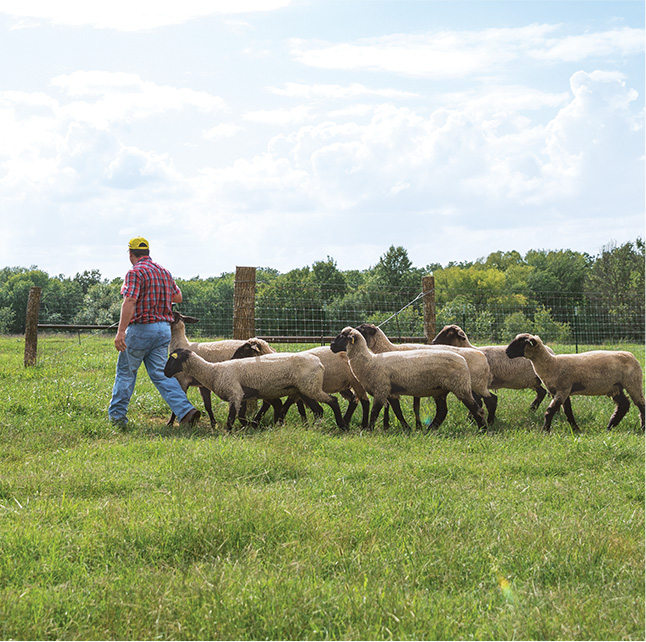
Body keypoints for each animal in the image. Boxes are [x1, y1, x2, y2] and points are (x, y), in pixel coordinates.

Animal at [165, 344, 346, 430]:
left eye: (173, 359)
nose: (165, 372)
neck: (213, 371)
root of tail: (320, 363)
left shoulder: (235, 394)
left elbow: (231, 418)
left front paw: (229, 433)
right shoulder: (244, 396)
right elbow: (241, 416)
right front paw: (250, 427)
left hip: (310, 388)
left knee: (333, 401)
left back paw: (341, 425)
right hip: (304, 390)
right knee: (318, 410)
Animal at [234, 342, 374, 428]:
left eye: (242, 352)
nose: (232, 360)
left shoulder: (297, 391)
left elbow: (282, 407)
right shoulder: (296, 392)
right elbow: (294, 407)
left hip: (356, 382)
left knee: (365, 401)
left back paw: (362, 425)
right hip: (344, 385)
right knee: (354, 400)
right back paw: (346, 420)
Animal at [330, 324, 486, 430]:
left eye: (343, 336)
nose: (331, 346)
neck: (369, 361)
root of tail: (464, 359)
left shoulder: (381, 390)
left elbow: (375, 412)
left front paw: (370, 430)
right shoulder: (390, 392)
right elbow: (396, 411)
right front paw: (406, 428)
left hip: (461, 386)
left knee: (476, 407)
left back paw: (482, 429)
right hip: (440, 390)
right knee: (443, 411)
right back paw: (430, 430)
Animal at [508, 332, 644, 432]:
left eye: (520, 343)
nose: (507, 353)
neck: (551, 364)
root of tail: (631, 355)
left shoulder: (563, 389)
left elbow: (550, 411)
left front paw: (545, 431)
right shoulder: (563, 391)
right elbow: (568, 411)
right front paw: (576, 429)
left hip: (633, 382)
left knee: (641, 404)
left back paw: (642, 428)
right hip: (615, 387)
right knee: (624, 405)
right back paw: (610, 426)